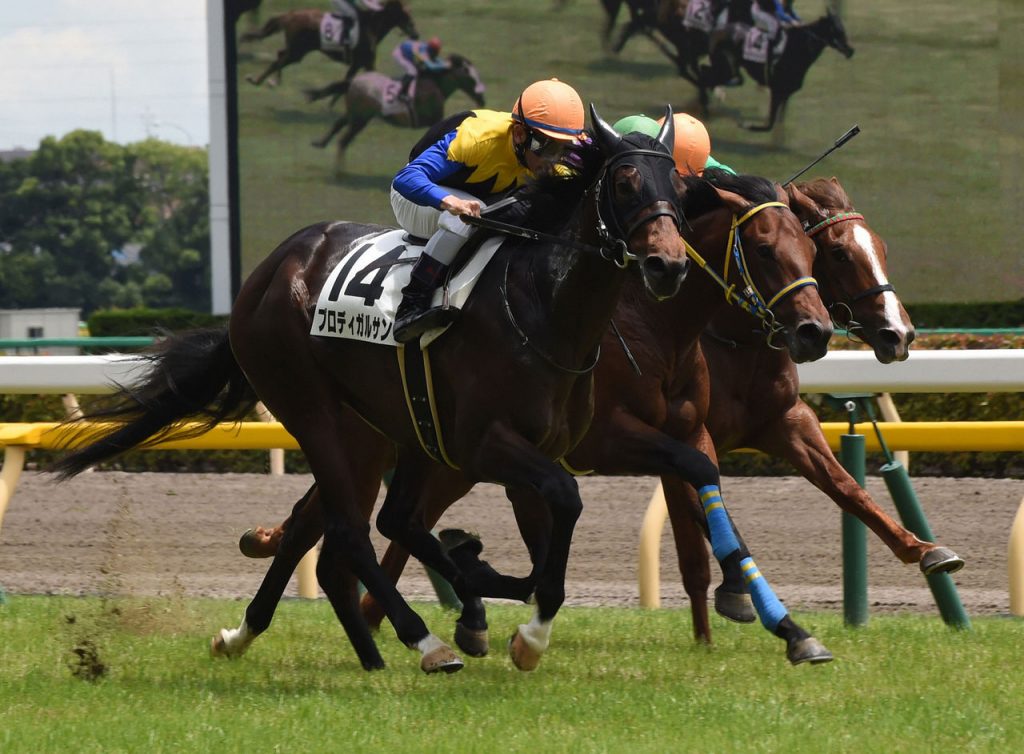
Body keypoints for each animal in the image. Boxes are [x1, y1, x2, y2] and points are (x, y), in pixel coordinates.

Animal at [54, 109, 696, 676]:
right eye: (625, 181)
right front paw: (521, 630)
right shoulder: (484, 444)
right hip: (313, 410)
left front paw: (514, 624)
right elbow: (563, 502)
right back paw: (426, 643)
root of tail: (265, 274)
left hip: (390, 432)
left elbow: (542, 545)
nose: (667, 265)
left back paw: (256, 637)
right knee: (350, 530)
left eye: (680, 188)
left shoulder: (532, 447)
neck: (541, 304)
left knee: (361, 524)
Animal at [239, 0, 415, 89]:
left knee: (280, 55)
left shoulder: (358, 64)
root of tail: (290, 15)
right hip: (298, 50)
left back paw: (265, 80)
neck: (372, 25)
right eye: (405, 14)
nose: (416, 34)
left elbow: (347, 80)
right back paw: (268, 81)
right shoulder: (366, 62)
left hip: (296, 49)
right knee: (280, 60)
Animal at [241, 168, 847, 663]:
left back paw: (270, 630)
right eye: (764, 249)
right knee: (345, 528)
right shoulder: (594, 440)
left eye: (812, 251)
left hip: (408, 442)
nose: (815, 331)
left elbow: (706, 489)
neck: (645, 321)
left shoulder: (685, 431)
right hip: (351, 432)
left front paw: (786, 626)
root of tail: (274, 268)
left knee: (340, 528)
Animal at [311, 55, 487, 165]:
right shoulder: (434, 121)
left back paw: (321, 144)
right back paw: (339, 172)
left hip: (355, 114)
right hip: (360, 119)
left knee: (338, 125)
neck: (436, 84)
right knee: (343, 140)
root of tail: (353, 81)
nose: (481, 98)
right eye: (471, 78)